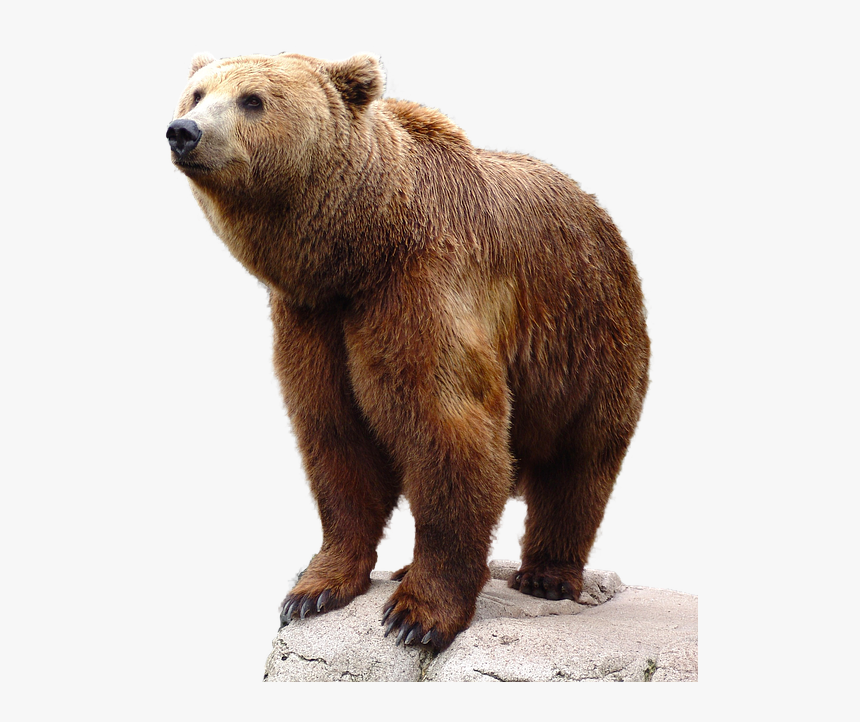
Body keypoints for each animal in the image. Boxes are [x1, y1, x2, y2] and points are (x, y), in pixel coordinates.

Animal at [167, 51, 650, 651]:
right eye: (197, 93)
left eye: (251, 99)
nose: (184, 131)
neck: (359, 249)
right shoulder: (313, 318)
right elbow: (335, 436)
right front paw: (313, 591)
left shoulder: (421, 288)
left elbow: (449, 428)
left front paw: (416, 616)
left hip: (587, 338)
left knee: (579, 462)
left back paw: (547, 574)